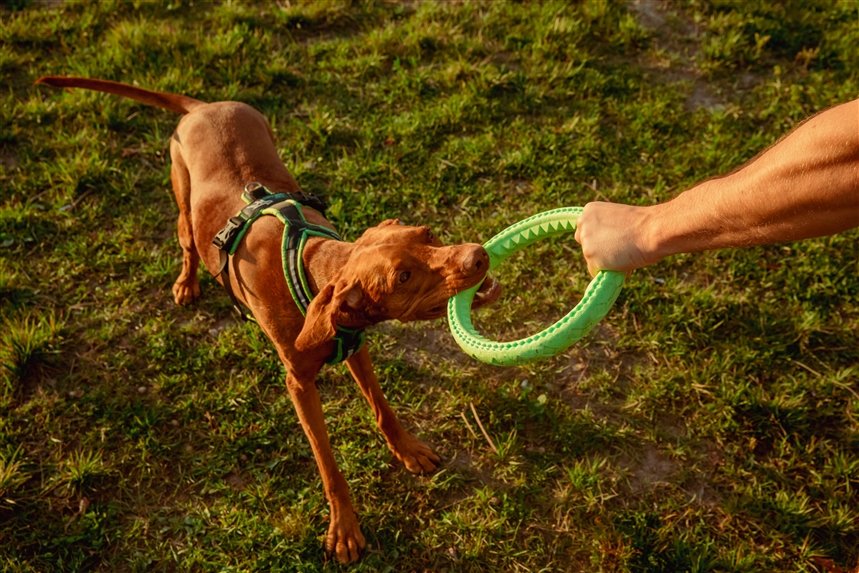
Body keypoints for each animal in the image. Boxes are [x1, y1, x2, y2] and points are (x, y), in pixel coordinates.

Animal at [37, 76, 500, 564]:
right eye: (403, 276)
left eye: (427, 234)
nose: (478, 255)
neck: (310, 265)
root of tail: (203, 106)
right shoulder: (299, 384)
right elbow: (328, 464)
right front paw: (344, 527)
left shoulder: (355, 345)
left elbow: (382, 407)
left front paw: (408, 449)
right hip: (181, 198)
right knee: (186, 241)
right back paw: (186, 283)